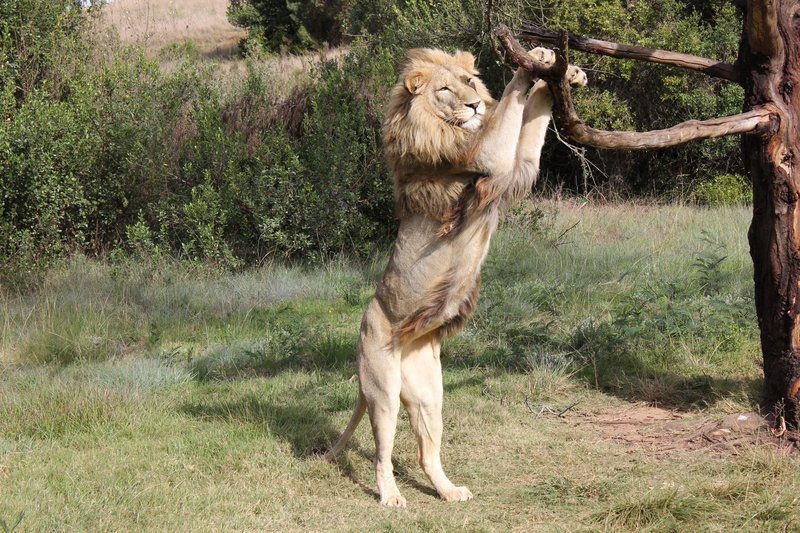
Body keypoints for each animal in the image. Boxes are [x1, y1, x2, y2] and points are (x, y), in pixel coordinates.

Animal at [324, 45, 588, 508]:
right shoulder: (485, 159)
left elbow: (530, 121)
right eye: (444, 89)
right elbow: (510, 106)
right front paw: (532, 64)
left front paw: (558, 70)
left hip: (430, 393)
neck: (439, 127)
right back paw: (391, 496)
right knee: (383, 451)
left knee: (427, 452)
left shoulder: (514, 170)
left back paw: (448, 491)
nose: (474, 105)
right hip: (382, 387)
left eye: (468, 81)